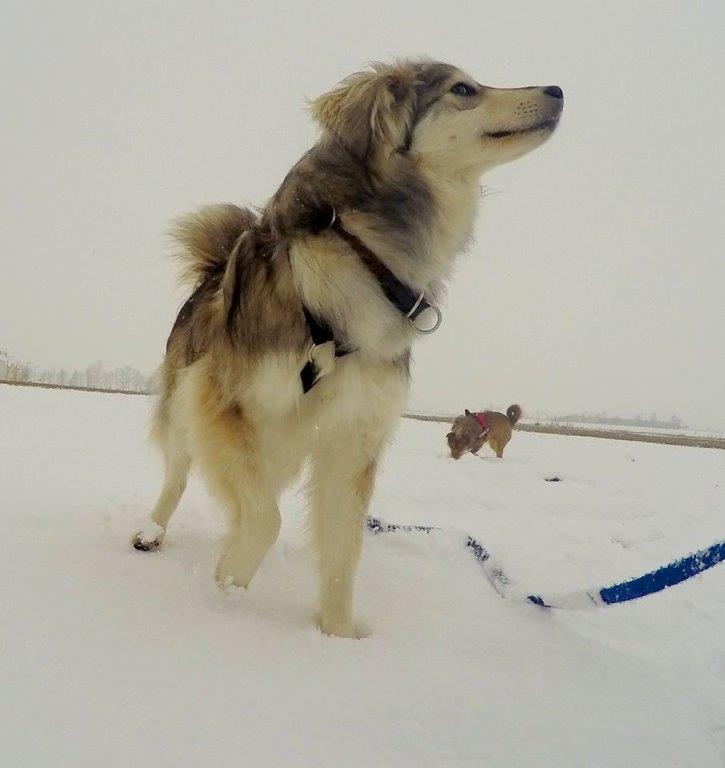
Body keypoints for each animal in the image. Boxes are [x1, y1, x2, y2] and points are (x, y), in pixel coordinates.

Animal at [132, 60, 563, 637]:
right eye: (463, 89)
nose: (557, 90)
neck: (365, 261)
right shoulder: (222, 400)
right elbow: (264, 520)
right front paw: (226, 588)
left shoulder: (353, 435)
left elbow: (342, 550)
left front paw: (336, 638)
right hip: (189, 410)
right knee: (179, 475)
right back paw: (152, 531)